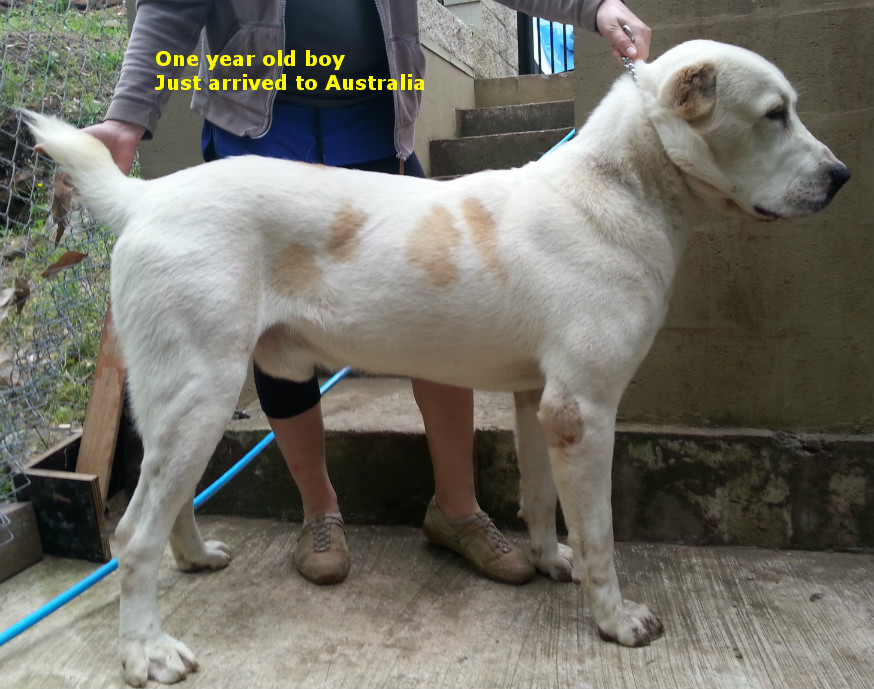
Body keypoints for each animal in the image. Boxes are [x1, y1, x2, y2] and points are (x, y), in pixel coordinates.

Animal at [25, 39, 844, 684]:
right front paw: (615, 619)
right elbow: (603, 532)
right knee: (132, 534)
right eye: (775, 113)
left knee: (169, 501)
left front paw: (549, 561)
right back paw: (146, 652)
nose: (840, 177)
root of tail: (146, 199)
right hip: (201, 390)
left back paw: (196, 558)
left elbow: (543, 501)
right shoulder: (584, 409)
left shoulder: (538, 402)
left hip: (182, 398)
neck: (620, 185)